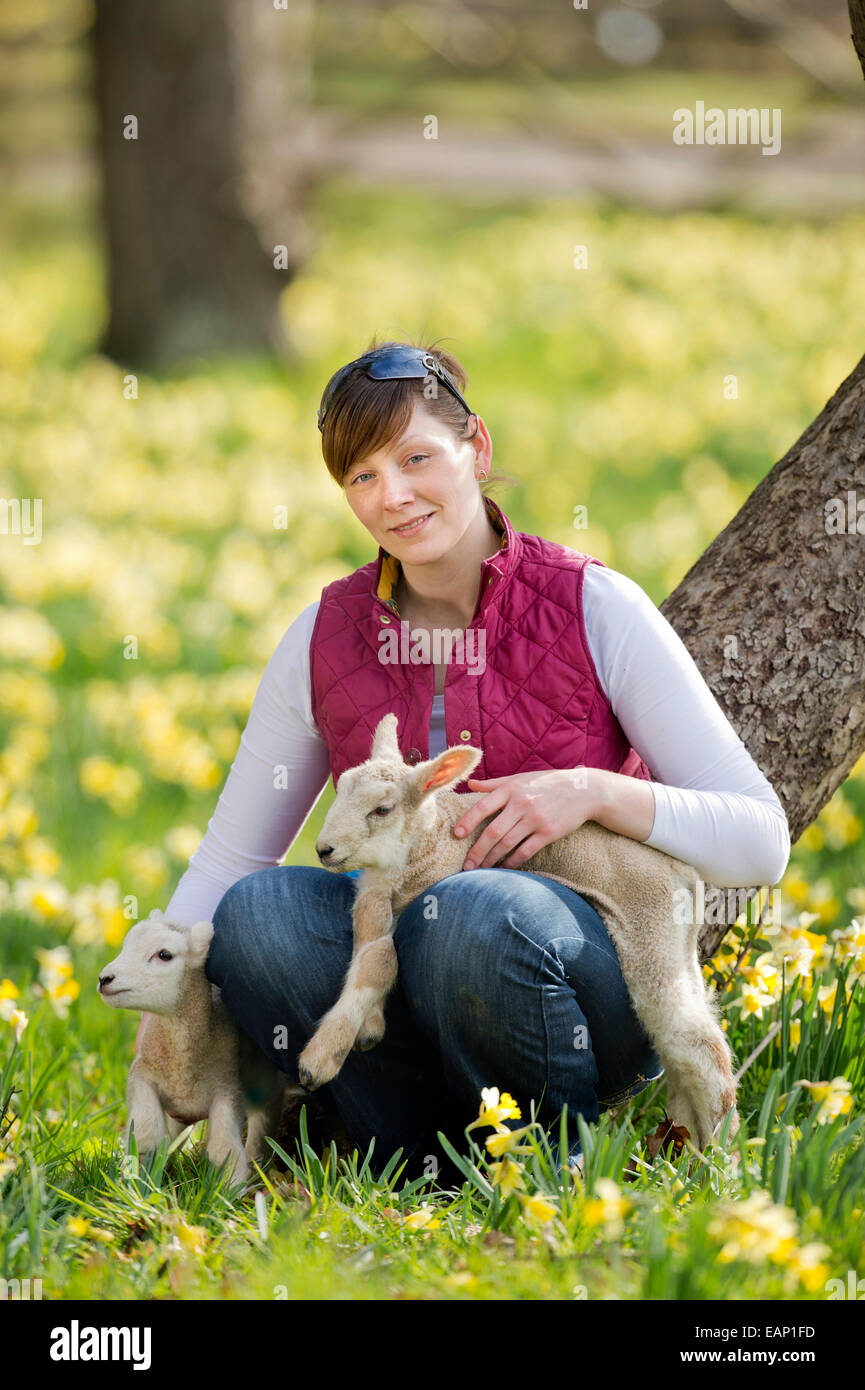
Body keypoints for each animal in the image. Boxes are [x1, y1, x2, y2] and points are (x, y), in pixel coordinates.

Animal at [98, 911, 287, 1184]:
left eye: (164, 954)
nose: (104, 979)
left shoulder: (227, 1089)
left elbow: (224, 1148)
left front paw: (227, 1190)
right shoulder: (142, 1074)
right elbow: (146, 1133)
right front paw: (138, 1180)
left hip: (261, 1077)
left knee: (266, 1111)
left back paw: (257, 1166)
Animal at [301, 711, 739, 1145]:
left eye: (383, 810)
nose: (324, 849)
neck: (429, 840)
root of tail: (682, 871)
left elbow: (383, 962)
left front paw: (318, 1060)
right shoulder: (372, 898)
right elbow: (369, 951)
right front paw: (367, 1029)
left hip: (649, 931)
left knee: (696, 1046)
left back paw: (717, 1156)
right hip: (675, 944)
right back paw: (682, 1145)